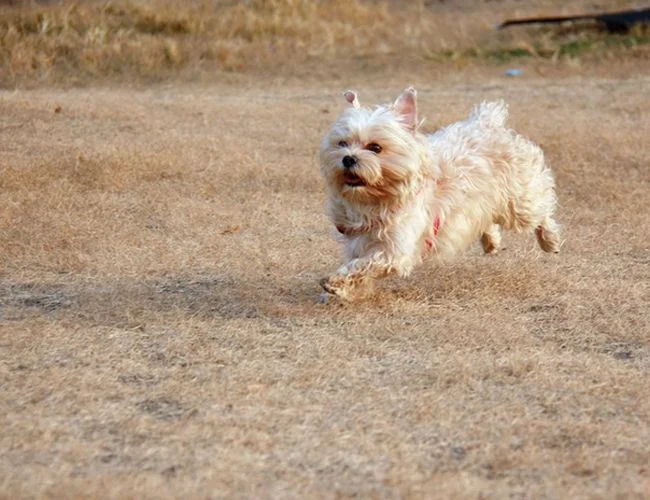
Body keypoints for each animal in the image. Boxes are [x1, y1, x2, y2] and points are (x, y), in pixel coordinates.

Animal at [318, 86, 556, 300]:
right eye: (342, 143)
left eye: (375, 148)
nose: (348, 158)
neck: (374, 200)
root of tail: (487, 121)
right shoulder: (357, 241)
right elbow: (358, 266)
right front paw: (348, 291)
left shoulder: (394, 250)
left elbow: (363, 265)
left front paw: (336, 282)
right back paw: (491, 241)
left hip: (520, 202)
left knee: (541, 210)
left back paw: (549, 240)